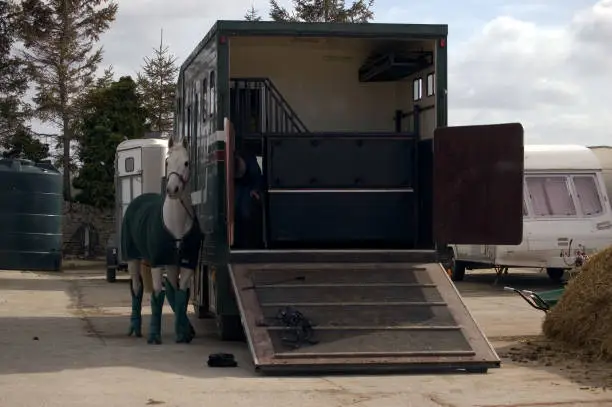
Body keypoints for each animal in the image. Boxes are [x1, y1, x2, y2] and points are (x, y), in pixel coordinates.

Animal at [120, 136, 202, 344]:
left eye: (186, 162)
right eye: (167, 162)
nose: (172, 189)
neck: (176, 223)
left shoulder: (186, 263)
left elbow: (181, 295)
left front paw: (182, 334)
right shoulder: (157, 263)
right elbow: (157, 295)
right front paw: (154, 336)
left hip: (170, 264)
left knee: (172, 289)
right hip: (133, 258)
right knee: (136, 288)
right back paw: (135, 327)